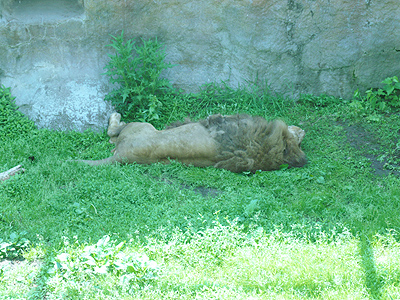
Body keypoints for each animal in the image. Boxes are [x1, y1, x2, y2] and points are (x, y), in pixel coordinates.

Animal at [79, 112, 308, 173]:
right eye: (298, 143)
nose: (303, 130)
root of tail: (120, 156)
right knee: (111, 136)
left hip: (142, 126)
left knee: (112, 132)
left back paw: (116, 116)